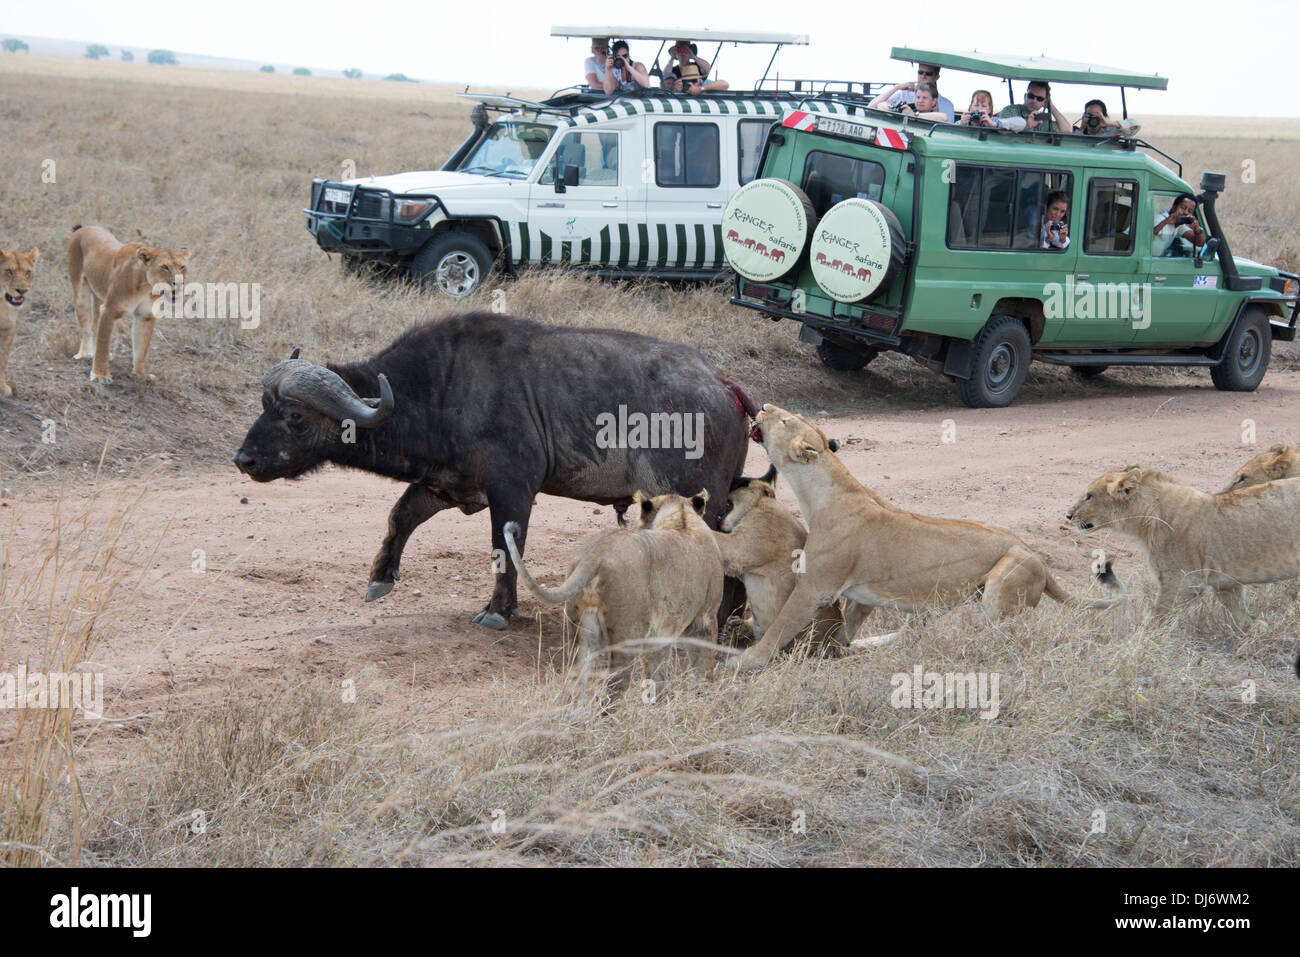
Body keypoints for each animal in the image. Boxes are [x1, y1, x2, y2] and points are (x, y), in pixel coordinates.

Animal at [236, 312, 759, 629]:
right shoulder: (448, 485)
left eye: (295, 416)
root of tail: (722, 382)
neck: (440, 389)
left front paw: (498, 610)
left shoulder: (513, 490)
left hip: (690, 501)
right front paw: (381, 576)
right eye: (264, 405)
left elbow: (505, 548)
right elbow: (399, 518)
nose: (245, 460)